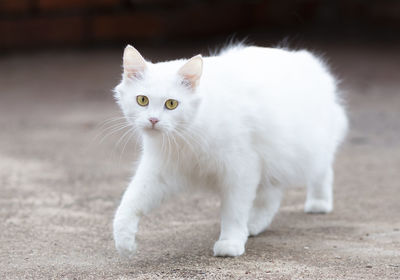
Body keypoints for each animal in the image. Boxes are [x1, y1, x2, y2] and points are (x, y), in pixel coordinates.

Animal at [111, 44, 346, 258]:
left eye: (171, 104)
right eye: (142, 100)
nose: (153, 120)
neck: (186, 136)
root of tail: (308, 60)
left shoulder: (240, 170)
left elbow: (233, 212)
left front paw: (230, 243)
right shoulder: (160, 171)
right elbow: (129, 202)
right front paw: (124, 242)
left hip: (309, 151)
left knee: (323, 173)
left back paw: (319, 203)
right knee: (271, 197)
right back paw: (254, 225)